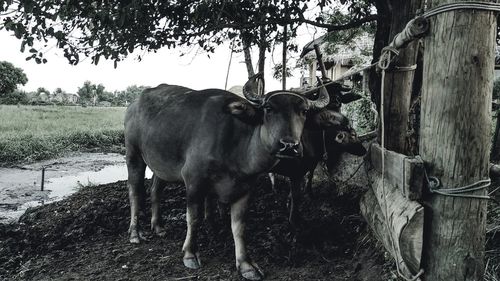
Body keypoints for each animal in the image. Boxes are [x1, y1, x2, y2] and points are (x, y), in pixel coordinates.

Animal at [123, 73, 348, 278]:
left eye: (304, 111)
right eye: (268, 109)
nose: (289, 146)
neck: (236, 147)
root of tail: (134, 104)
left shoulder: (245, 189)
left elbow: (239, 227)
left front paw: (246, 265)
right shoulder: (194, 181)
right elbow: (193, 218)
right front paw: (190, 254)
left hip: (162, 165)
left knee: (155, 190)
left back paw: (158, 226)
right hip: (133, 154)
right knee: (135, 192)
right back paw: (135, 233)